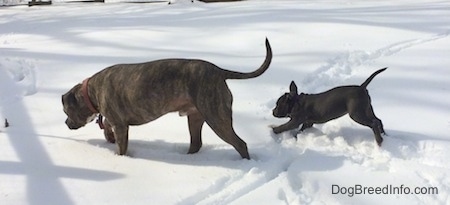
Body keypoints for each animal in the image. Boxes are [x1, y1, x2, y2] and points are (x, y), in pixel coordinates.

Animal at [62, 38, 272, 160]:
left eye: (66, 111)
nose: (65, 123)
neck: (91, 91)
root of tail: (218, 71)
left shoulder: (121, 125)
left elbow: (121, 146)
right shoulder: (115, 120)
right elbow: (106, 124)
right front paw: (108, 136)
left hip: (216, 118)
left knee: (240, 143)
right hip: (195, 117)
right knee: (196, 143)